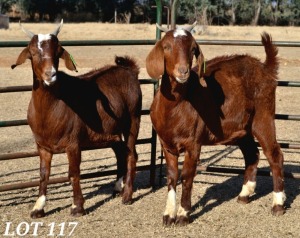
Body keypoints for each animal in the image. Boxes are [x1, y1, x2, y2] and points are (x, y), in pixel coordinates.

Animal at [12, 20, 143, 218]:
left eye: (58, 52)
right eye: (32, 52)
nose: (51, 74)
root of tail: (129, 69)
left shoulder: (72, 143)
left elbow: (73, 173)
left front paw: (77, 207)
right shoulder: (42, 146)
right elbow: (43, 174)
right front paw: (38, 208)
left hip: (133, 120)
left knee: (131, 154)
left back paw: (127, 196)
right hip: (111, 130)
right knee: (120, 151)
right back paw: (117, 186)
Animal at [146, 27, 284, 225]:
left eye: (193, 50)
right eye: (166, 46)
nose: (183, 71)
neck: (174, 108)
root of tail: (265, 68)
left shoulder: (193, 143)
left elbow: (187, 176)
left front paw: (183, 214)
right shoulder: (166, 144)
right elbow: (172, 176)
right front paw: (168, 214)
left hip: (263, 116)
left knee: (274, 155)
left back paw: (278, 204)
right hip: (242, 129)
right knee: (252, 154)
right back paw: (244, 195)